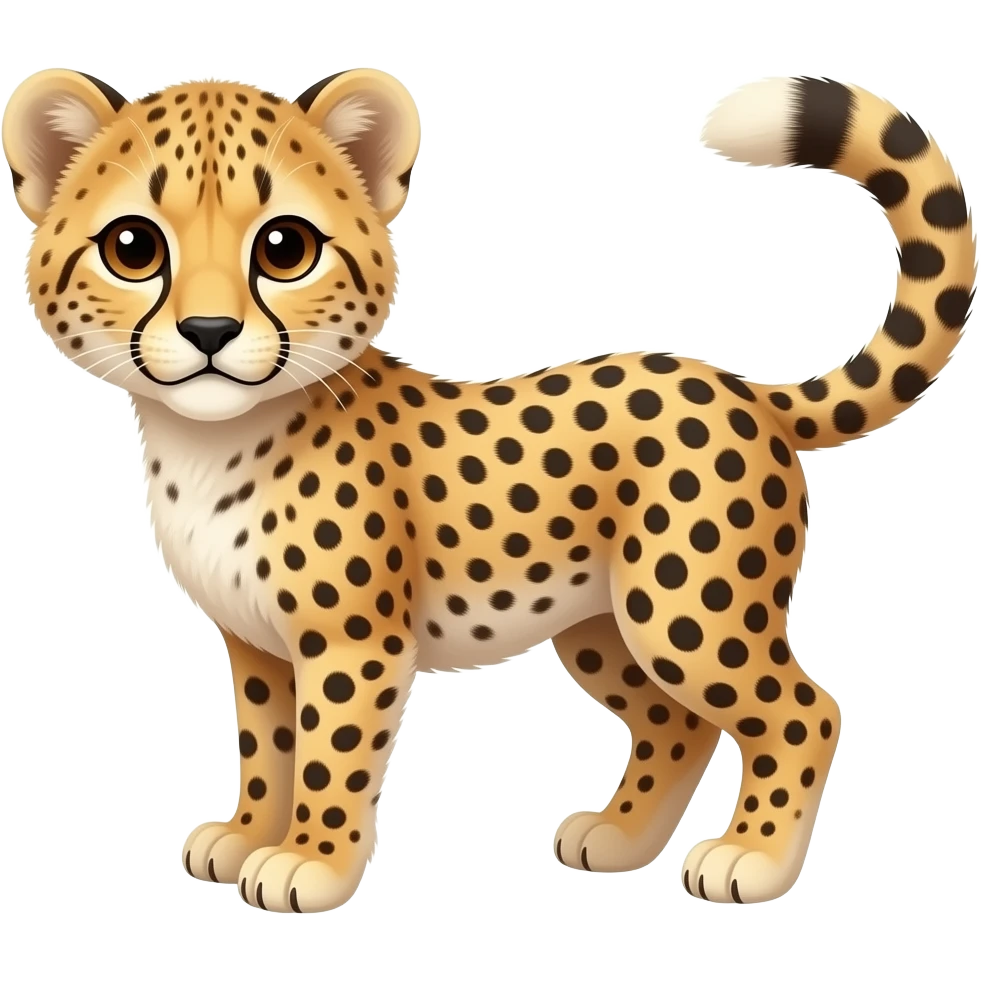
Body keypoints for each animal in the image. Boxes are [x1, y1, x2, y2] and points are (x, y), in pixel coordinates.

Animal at [4, 68, 976, 913]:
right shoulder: (258, 648)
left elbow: (328, 758)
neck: (211, 440)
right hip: (600, 627)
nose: (210, 331)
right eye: (134, 247)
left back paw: (752, 858)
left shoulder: (351, 644)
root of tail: (739, 386)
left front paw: (309, 863)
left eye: (284, 249)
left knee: (803, 711)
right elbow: (265, 748)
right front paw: (247, 833)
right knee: (677, 724)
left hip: (688, 615)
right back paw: (618, 838)